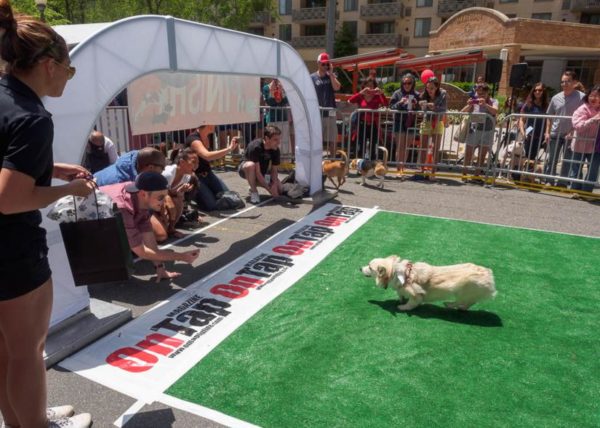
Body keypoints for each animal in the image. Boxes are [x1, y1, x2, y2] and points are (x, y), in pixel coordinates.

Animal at [360, 254, 496, 310]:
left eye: (370, 267)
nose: (360, 268)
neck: (395, 272)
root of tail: (489, 274)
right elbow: (400, 293)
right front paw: (400, 298)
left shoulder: (416, 294)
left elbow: (411, 303)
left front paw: (403, 307)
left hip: (463, 291)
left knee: (465, 302)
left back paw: (450, 305)